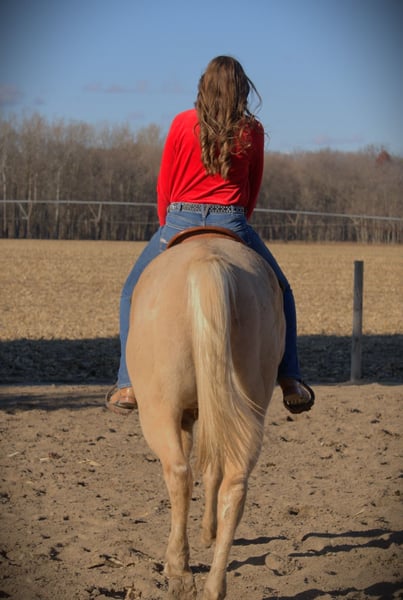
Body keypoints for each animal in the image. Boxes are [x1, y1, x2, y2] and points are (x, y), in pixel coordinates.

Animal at [126, 231, 285, 599]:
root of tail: (206, 264)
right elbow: (211, 470)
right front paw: (207, 532)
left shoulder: (181, 417)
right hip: (249, 412)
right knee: (233, 486)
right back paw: (214, 585)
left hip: (159, 413)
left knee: (179, 474)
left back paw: (179, 570)